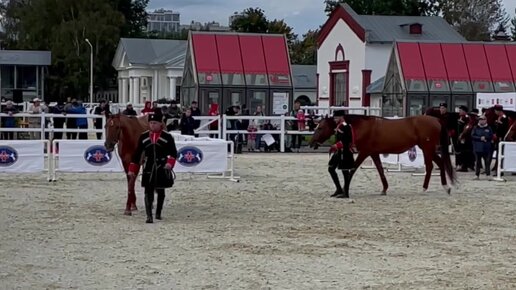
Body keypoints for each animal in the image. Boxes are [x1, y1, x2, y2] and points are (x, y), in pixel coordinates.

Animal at [308, 114, 454, 196]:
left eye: (320, 127)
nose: (311, 142)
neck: (362, 127)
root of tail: (437, 119)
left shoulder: (364, 152)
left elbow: (353, 169)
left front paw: (344, 190)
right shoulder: (374, 153)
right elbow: (380, 169)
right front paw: (384, 189)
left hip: (427, 148)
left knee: (430, 166)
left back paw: (426, 188)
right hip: (429, 149)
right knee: (439, 164)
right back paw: (446, 187)